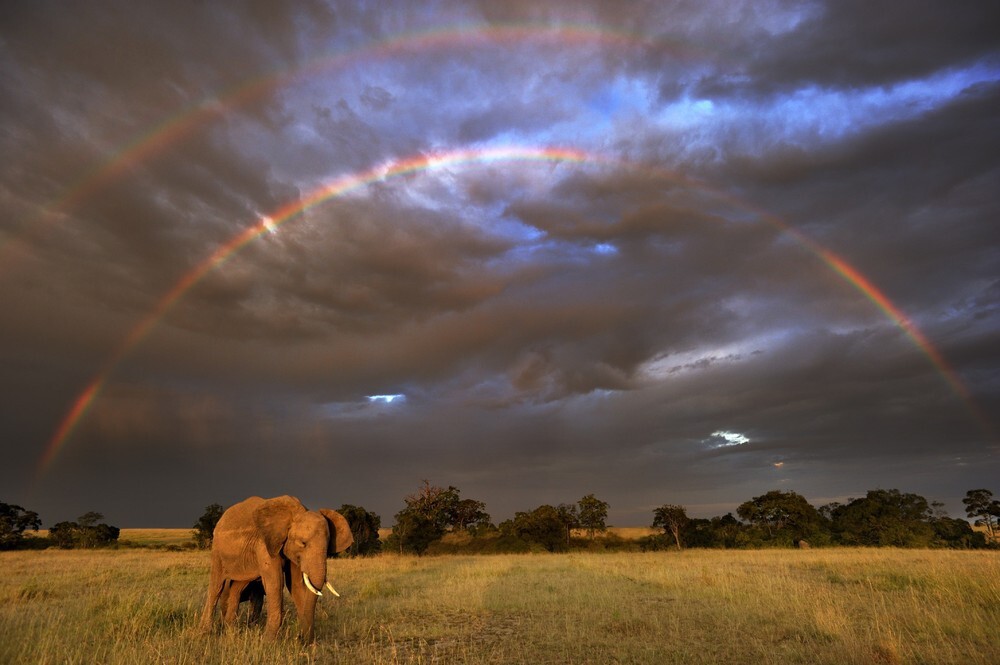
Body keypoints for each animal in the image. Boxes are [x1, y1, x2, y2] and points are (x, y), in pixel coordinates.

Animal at [197, 496, 354, 640]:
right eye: (303, 543)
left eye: (327, 547)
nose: (301, 639)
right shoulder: (264, 545)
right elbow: (275, 584)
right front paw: (268, 642)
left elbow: (296, 586)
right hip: (217, 550)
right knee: (216, 586)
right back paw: (205, 633)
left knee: (237, 588)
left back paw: (230, 631)